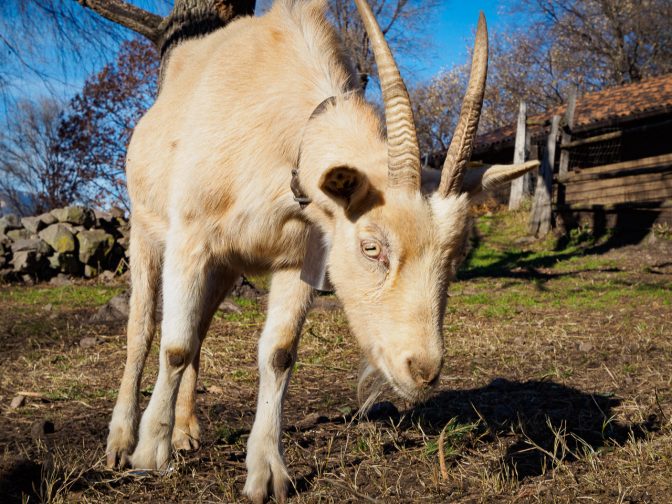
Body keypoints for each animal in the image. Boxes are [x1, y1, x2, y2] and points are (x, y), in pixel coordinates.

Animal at [106, 1, 540, 502]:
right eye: (371, 247)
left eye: (454, 257)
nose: (423, 370)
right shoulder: (190, 237)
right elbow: (173, 347)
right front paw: (149, 454)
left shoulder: (299, 255)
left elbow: (277, 354)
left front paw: (266, 472)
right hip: (146, 231)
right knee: (142, 329)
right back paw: (121, 440)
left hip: (225, 266)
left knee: (199, 329)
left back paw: (185, 431)